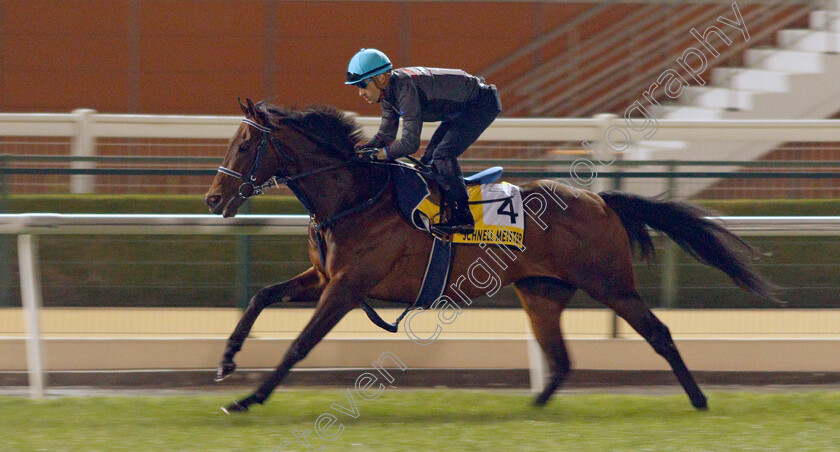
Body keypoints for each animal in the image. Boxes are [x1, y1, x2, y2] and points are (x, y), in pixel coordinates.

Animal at [205, 99, 780, 414]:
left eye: (244, 147)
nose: (212, 198)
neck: (354, 195)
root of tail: (599, 199)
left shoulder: (347, 287)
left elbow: (299, 345)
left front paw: (249, 399)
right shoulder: (324, 276)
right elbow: (261, 296)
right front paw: (228, 360)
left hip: (612, 285)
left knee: (658, 333)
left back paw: (700, 401)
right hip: (541, 291)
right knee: (561, 359)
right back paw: (532, 409)